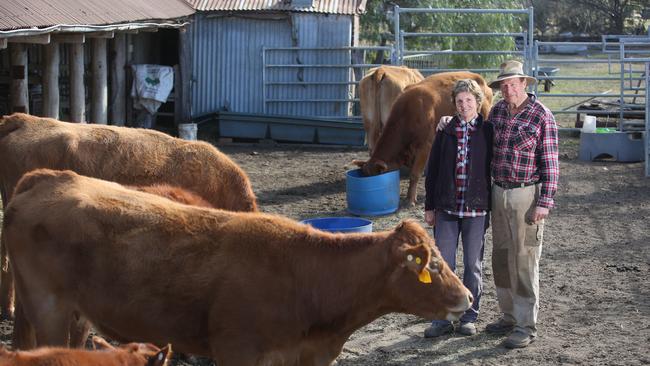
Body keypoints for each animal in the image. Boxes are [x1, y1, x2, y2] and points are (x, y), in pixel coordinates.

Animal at [5, 169, 470, 366]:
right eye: (434, 264)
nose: (466, 297)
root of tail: (49, 178)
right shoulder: (238, 353)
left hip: (76, 313)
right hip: (47, 307)